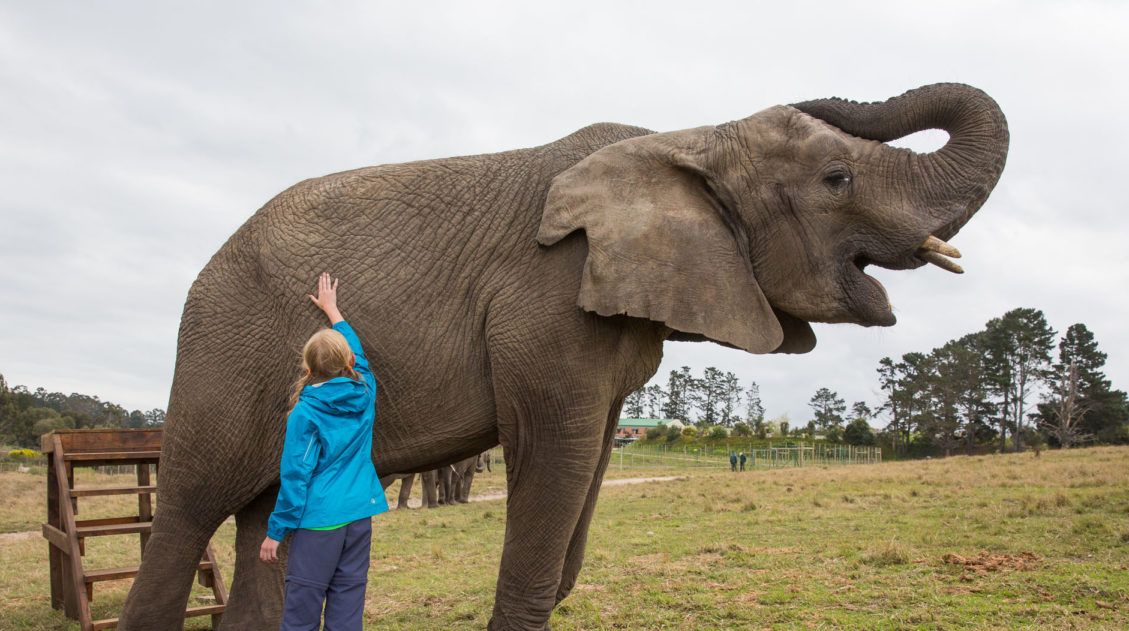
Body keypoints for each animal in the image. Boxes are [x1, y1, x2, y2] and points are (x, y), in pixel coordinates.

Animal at [119, 85, 1011, 631]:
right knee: (191, 510)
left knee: (264, 515)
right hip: (220, 350)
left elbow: (582, 481)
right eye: (835, 177)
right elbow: (551, 461)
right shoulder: (546, 305)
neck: (686, 142)